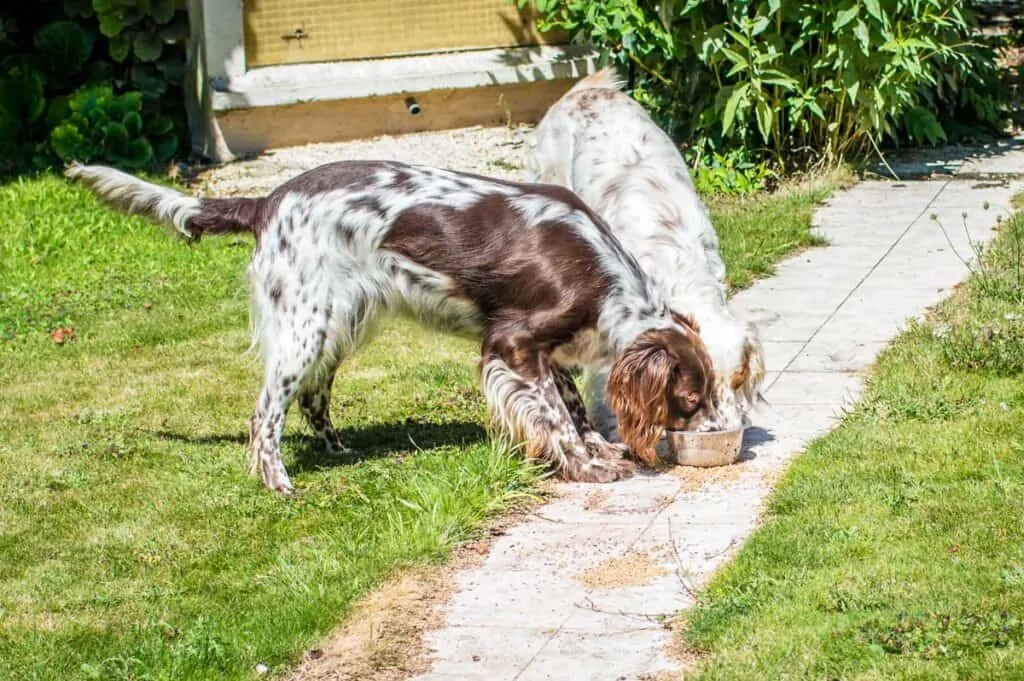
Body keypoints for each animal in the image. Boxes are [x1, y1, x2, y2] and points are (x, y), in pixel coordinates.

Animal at [68, 156, 716, 491]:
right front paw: (586, 465)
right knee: (266, 414)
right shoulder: (512, 342)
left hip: (338, 323)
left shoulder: (542, 353)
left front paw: (595, 449)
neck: (605, 280)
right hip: (304, 326)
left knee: (314, 399)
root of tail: (267, 202)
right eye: (689, 399)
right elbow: (557, 420)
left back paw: (337, 449)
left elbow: (572, 410)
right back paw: (277, 481)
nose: (715, 435)